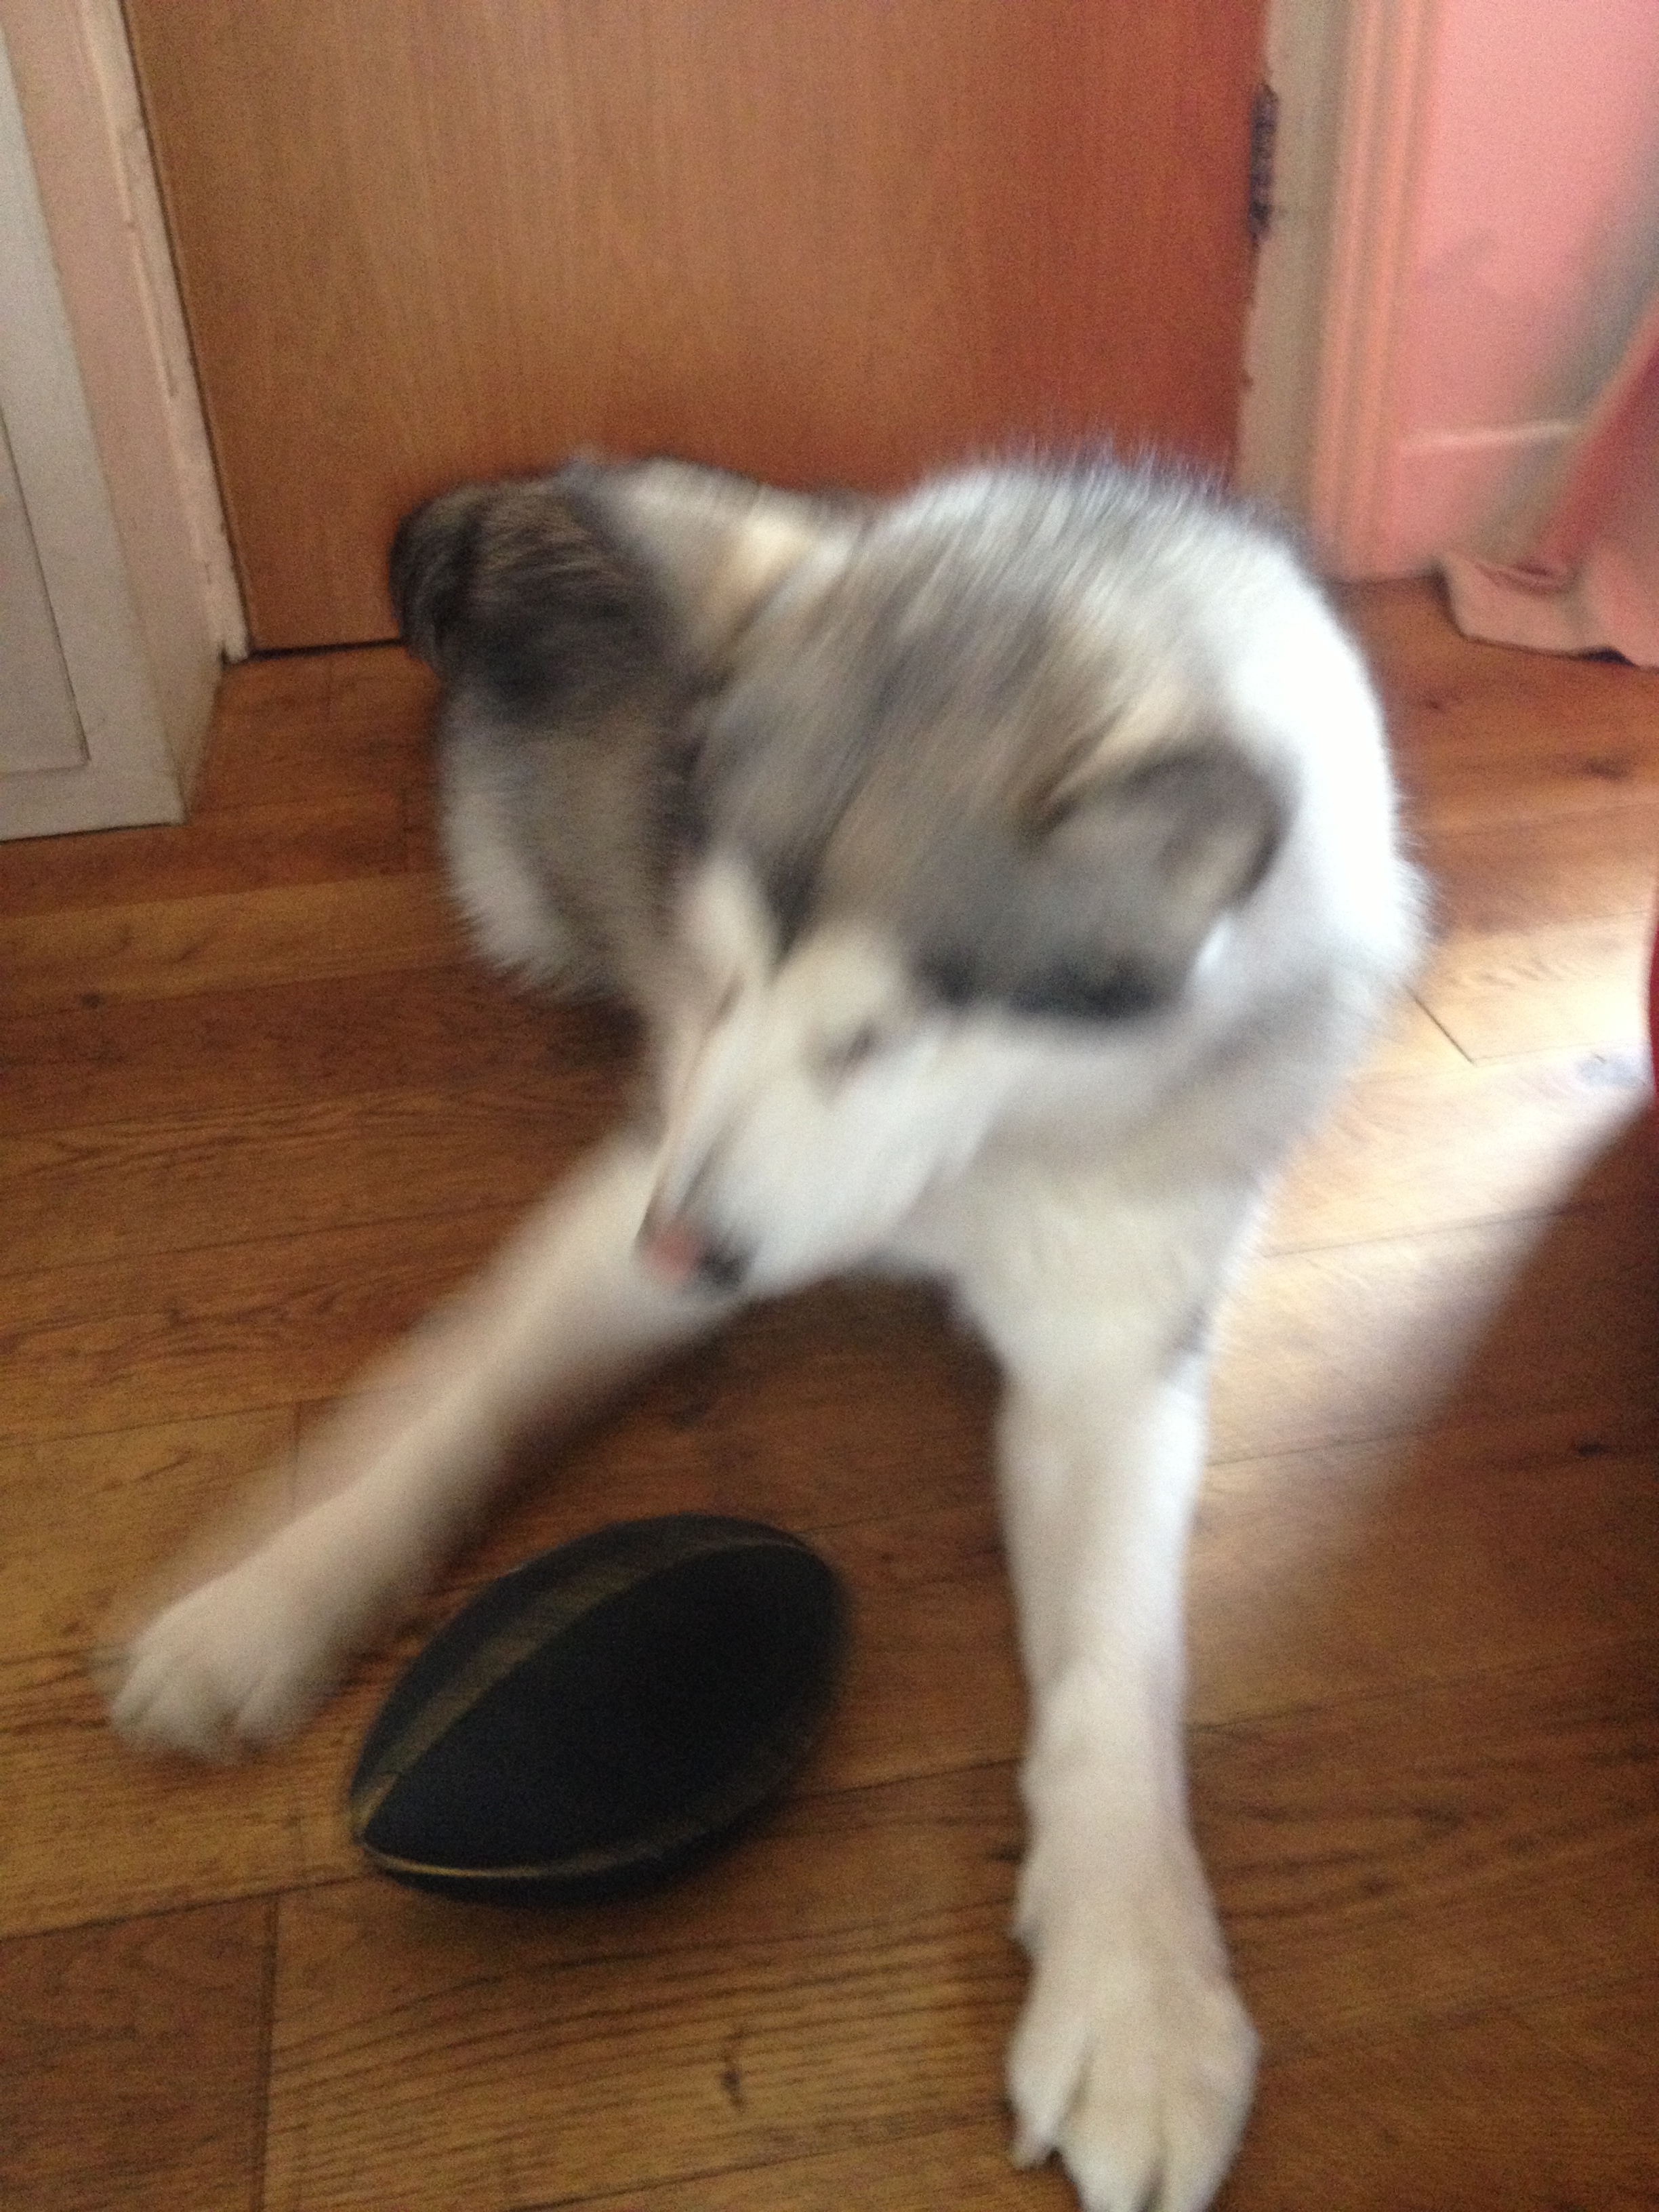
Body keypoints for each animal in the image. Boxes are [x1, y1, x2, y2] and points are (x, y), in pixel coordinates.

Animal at [107, 455, 1421, 2212]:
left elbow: (1114, 1667)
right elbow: (458, 1405)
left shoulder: (1111, 1339)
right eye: (723, 980)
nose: (682, 1252)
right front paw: (269, 1596)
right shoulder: (658, 1167)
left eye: (874, 1038)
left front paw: (1135, 1985)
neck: (976, 1162)